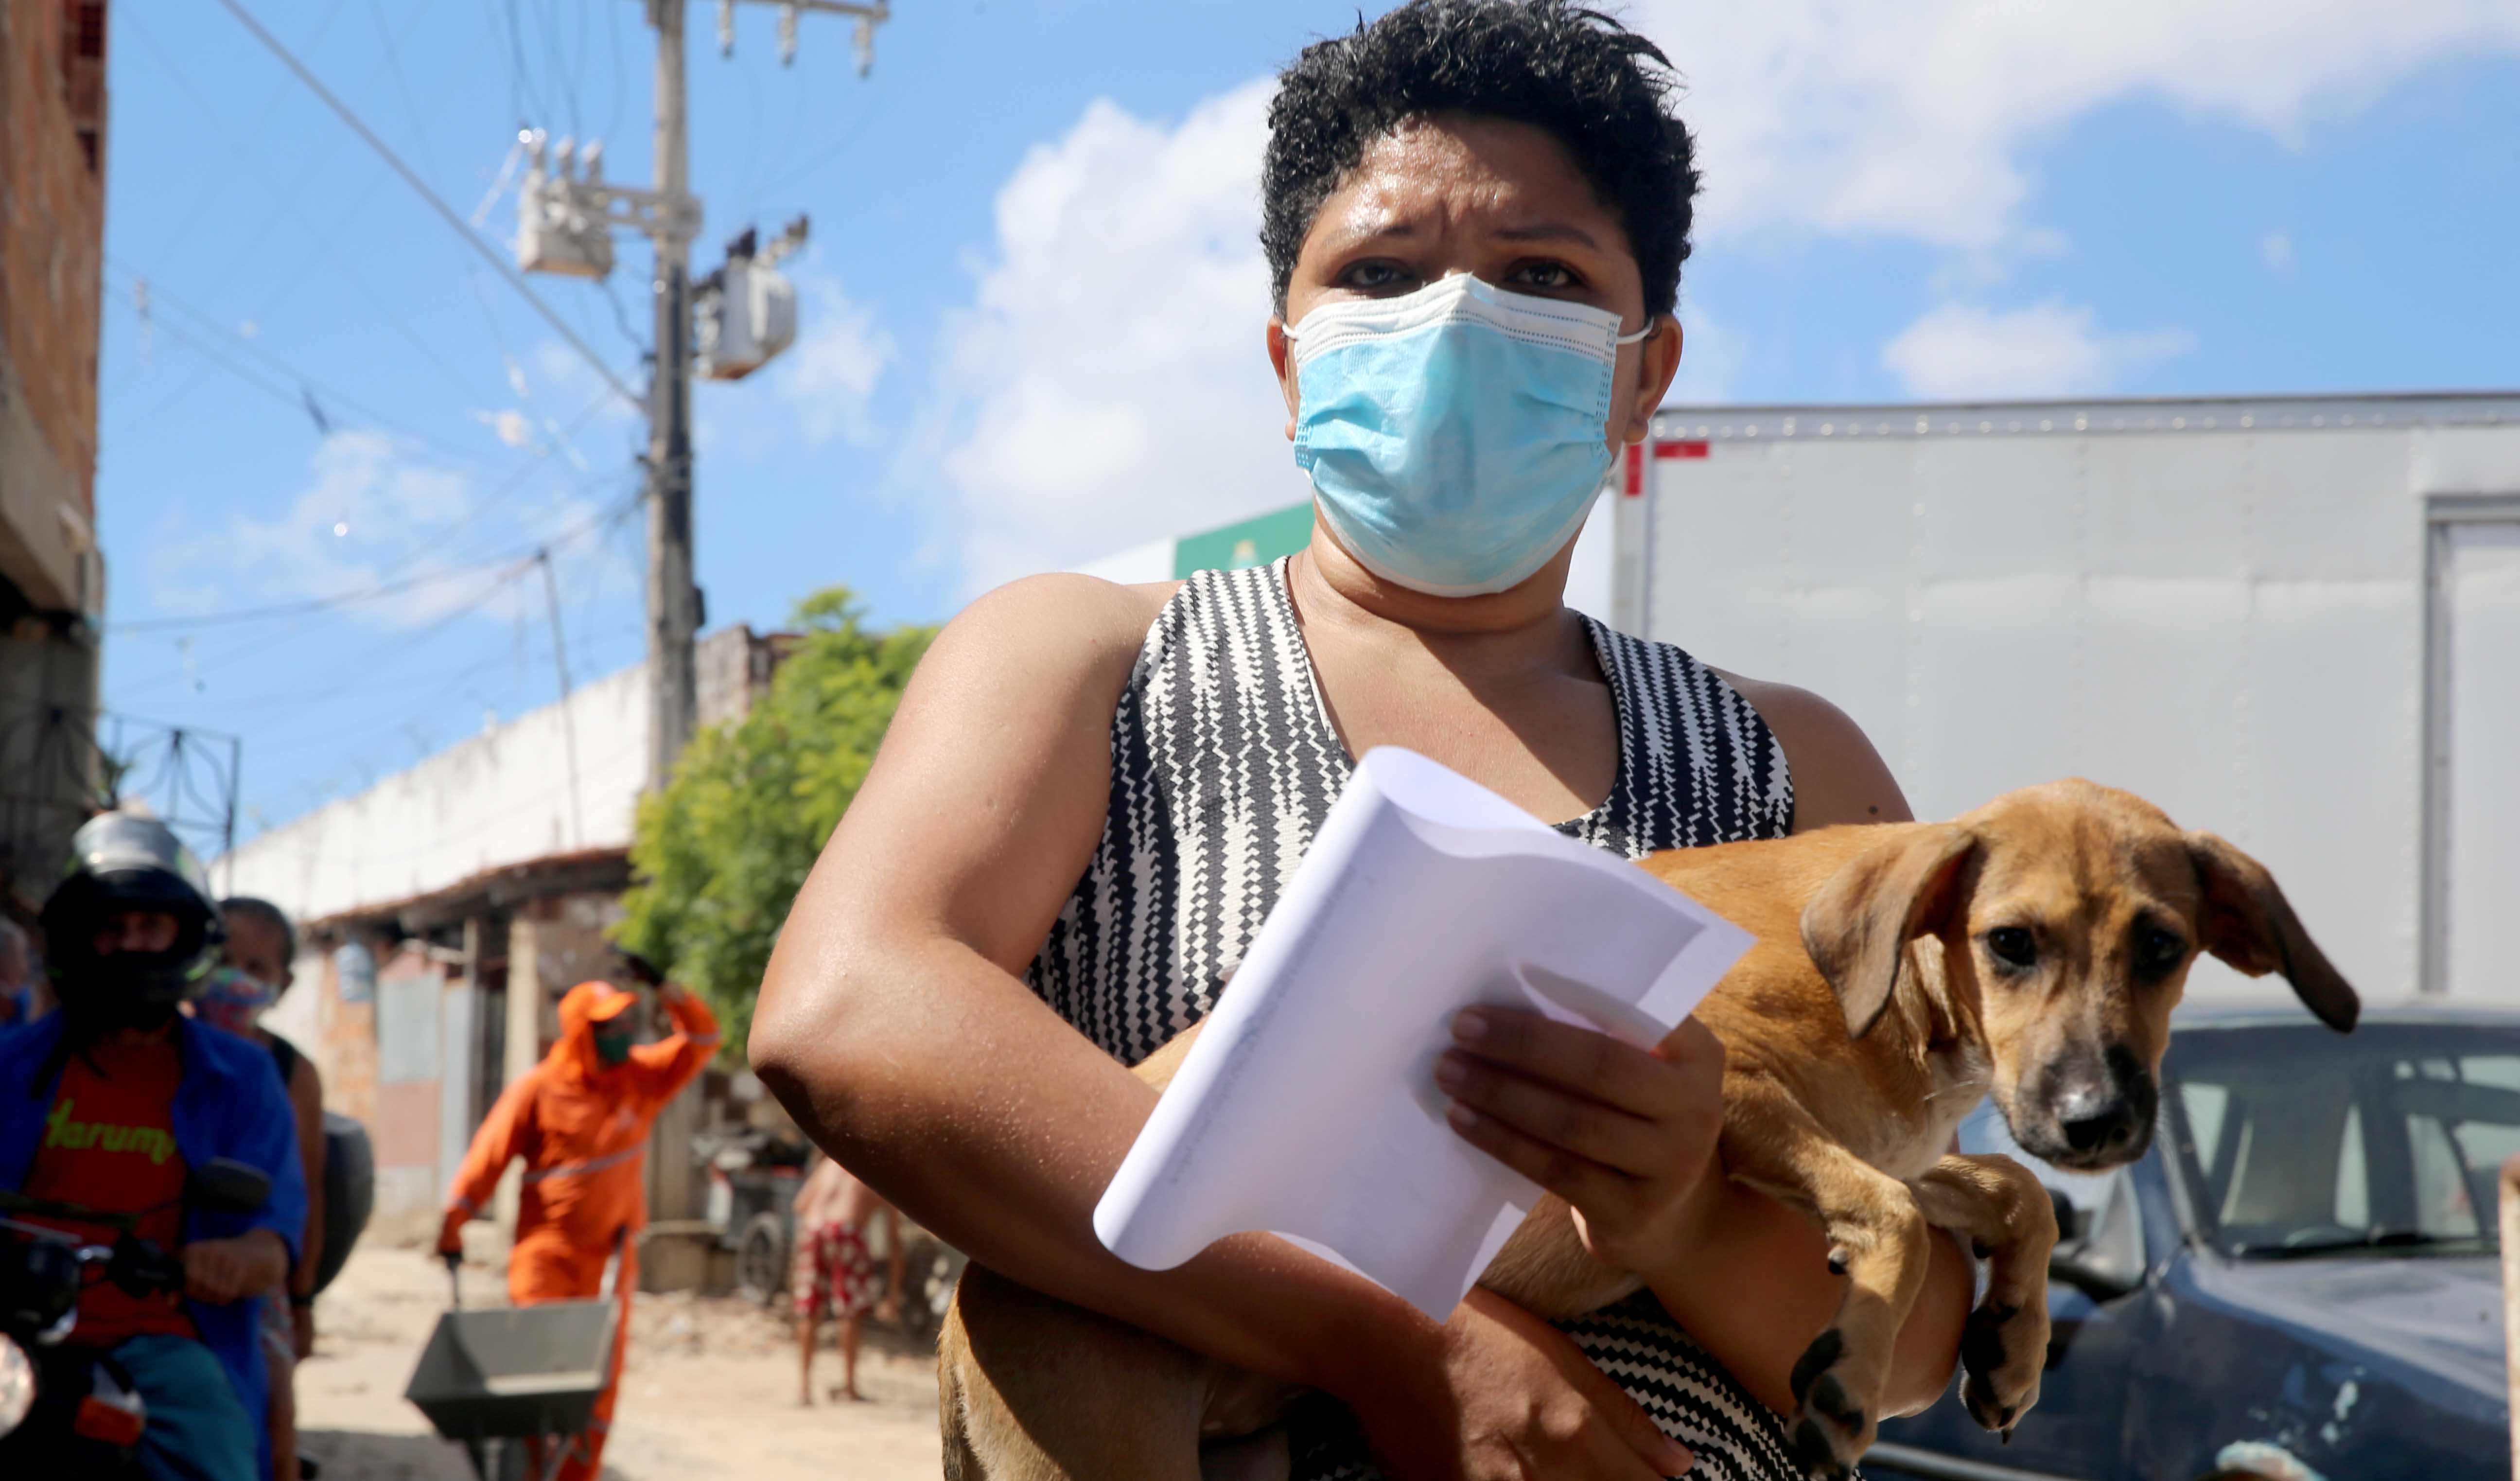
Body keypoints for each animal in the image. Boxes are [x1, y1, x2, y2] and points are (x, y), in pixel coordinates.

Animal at [937, 780, 2348, 1471]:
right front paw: (1852, 1373)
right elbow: (1900, 1210)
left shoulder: (1869, 1136)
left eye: (2161, 949)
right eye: (2014, 943)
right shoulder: (1734, 1084)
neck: (1898, 988)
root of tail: (958, 1313)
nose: (2099, 1119)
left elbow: (2001, 1193)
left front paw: (2008, 1341)